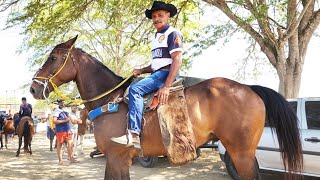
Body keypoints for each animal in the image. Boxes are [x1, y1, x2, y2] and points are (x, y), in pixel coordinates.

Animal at [29, 36, 302, 180]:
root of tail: (248, 87)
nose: (33, 89)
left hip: (242, 153)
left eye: (53, 58)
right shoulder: (119, 159)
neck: (109, 100)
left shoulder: (117, 157)